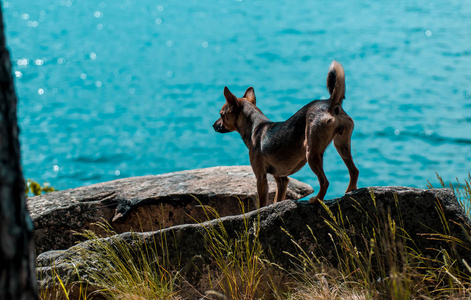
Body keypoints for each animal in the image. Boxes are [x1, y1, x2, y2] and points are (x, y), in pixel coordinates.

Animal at [214, 61, 358, 206]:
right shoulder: (281, 179)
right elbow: (277, 199)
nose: (213, 125)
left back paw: (317, 199)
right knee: (354, 170)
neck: (255, 126)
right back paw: (350, 191)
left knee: (325, 181)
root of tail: (330, 103)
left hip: (311, 152)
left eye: (221, 115)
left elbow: (262, 203)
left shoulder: (261, 178)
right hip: (341, 144)